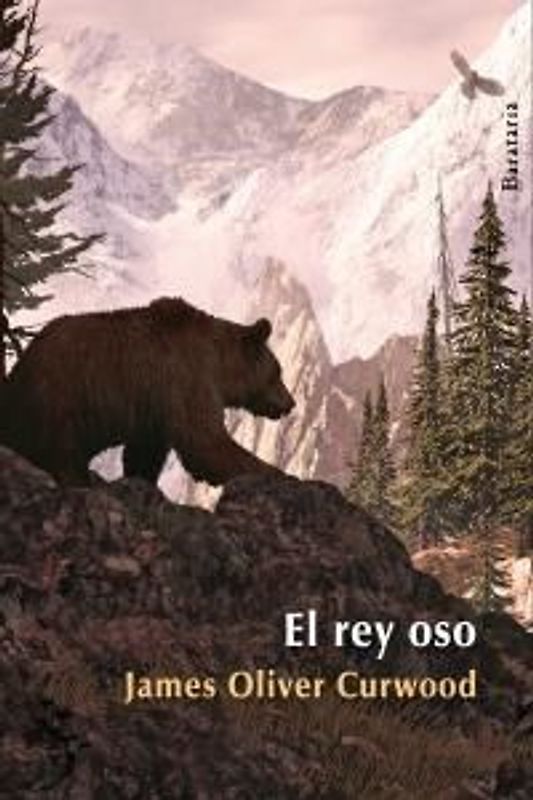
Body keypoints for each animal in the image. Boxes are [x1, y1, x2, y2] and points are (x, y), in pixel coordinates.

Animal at [0, 297, 295, 486]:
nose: (291, 403)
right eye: (278, 372)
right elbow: (205, 441)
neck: (219, 366)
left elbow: (145, 452)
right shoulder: (185, 375)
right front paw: (282, 475)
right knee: (62, 453)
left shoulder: (151, 405)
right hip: (60, 396)